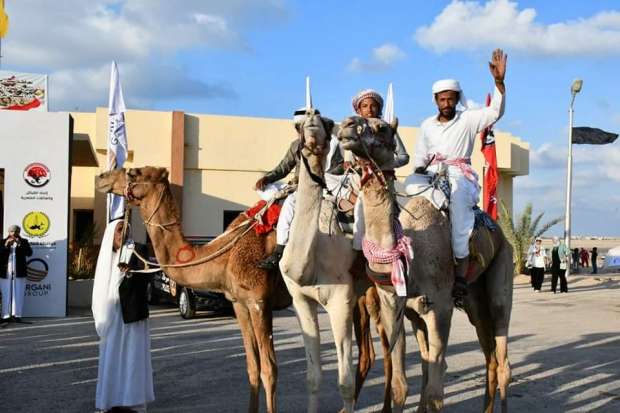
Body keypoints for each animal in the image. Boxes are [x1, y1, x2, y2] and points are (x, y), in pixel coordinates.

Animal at [94, 166, 294, 412]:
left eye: (134, 172)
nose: (101, 177)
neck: (225, 255)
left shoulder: (259, 301)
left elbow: (269, 369)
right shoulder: (240, 304)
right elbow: (252, 366)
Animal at [340, 113, 512, 412]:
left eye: (381, 127)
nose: (347, 125)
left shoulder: (440, 308)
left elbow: (435, 390)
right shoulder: (394, 308)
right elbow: (402, 384)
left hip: (501, 273)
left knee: (502, 359)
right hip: (472, 301)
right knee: (488, 355)